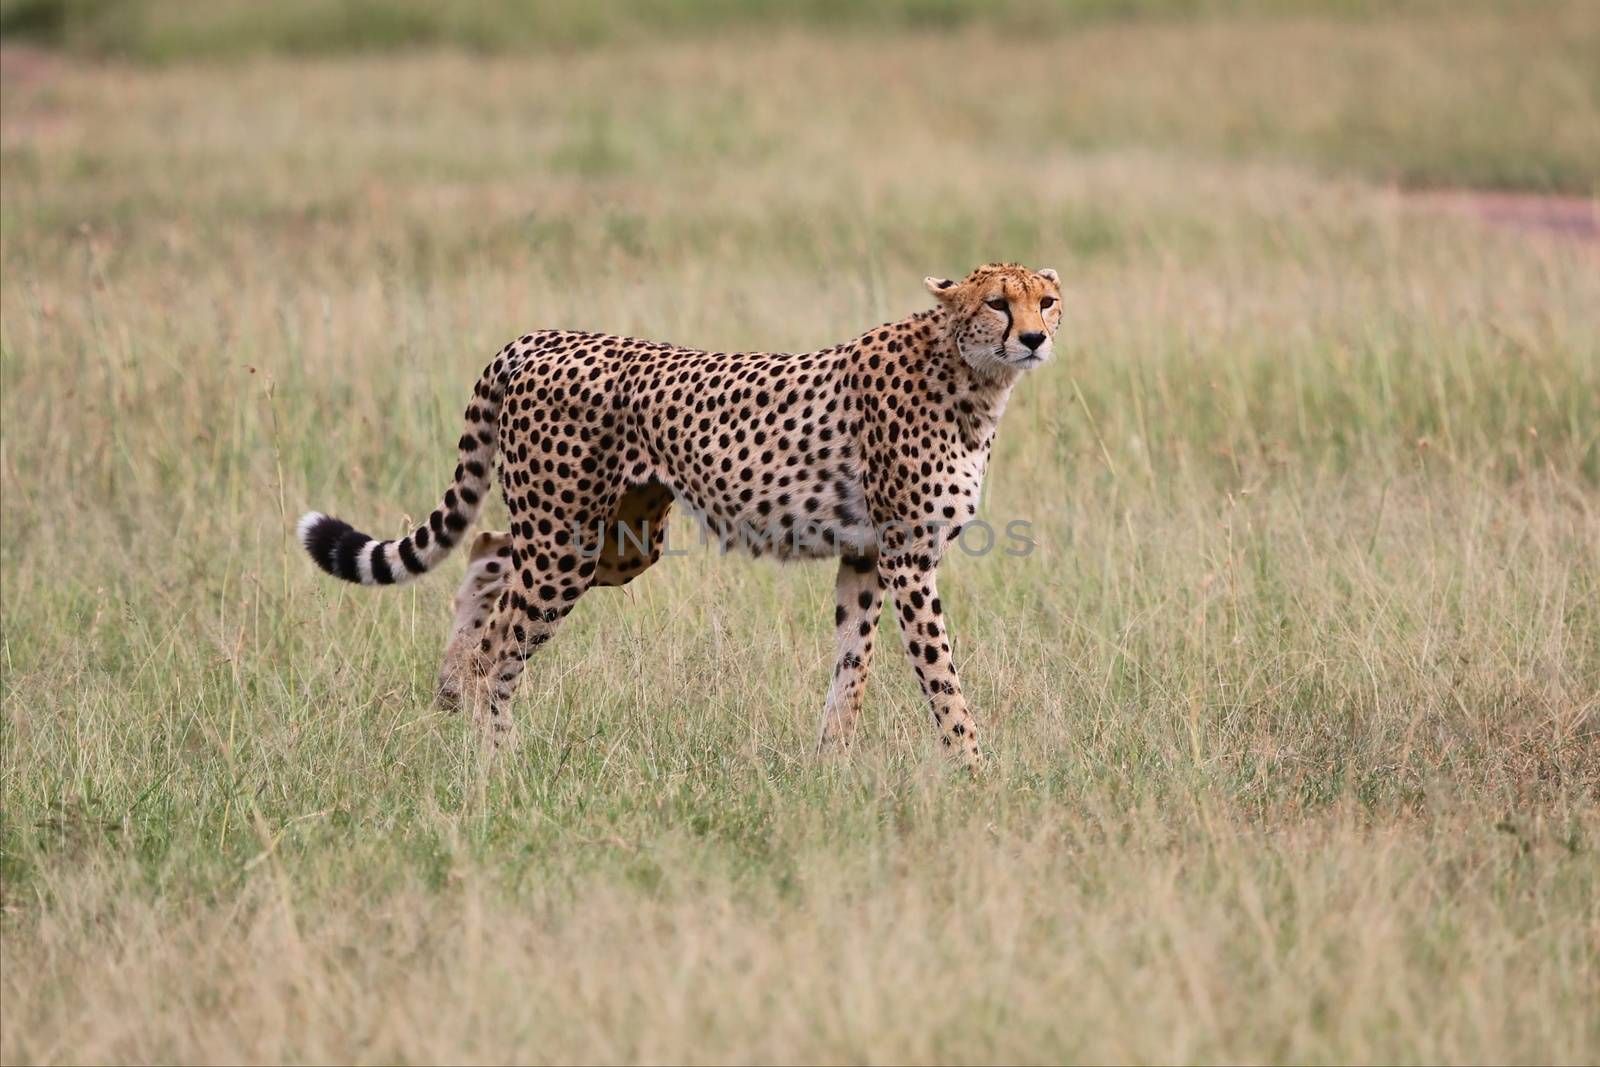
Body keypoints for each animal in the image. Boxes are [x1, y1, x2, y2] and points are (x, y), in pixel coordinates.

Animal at [300, 267, 1062, 767]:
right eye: (998, 302)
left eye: (1047, 301)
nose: (1033, 339)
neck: (969, 373)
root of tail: (540, 337)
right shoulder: (908, 556)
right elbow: (939, 672)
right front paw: (973, 770)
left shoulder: (865, 555)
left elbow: (853, 664)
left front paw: (830, 764)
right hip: (567, 542)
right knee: (500, 644)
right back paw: (498, 760)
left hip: (616, 539)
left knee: (486, 548)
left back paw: (450, 684)